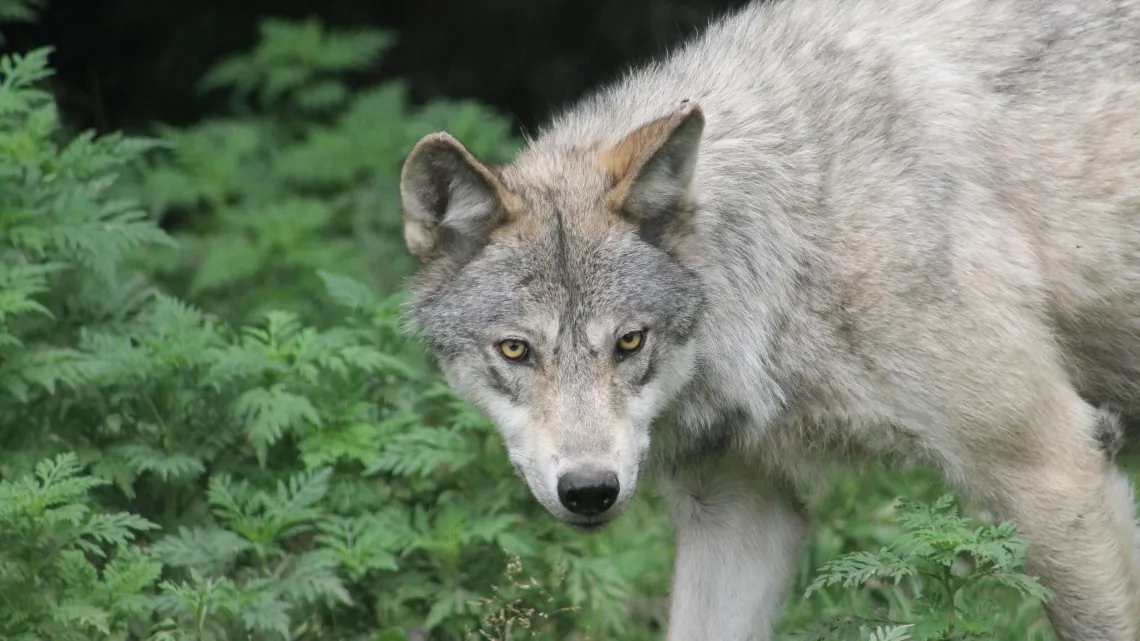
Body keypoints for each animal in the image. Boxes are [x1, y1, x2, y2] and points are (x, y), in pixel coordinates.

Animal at [397, 0, 1140, 638]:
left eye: (630, 341)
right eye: (515, 350)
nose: (588, 491)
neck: (798, 238)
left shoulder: (1051, 466)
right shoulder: (739, 506)